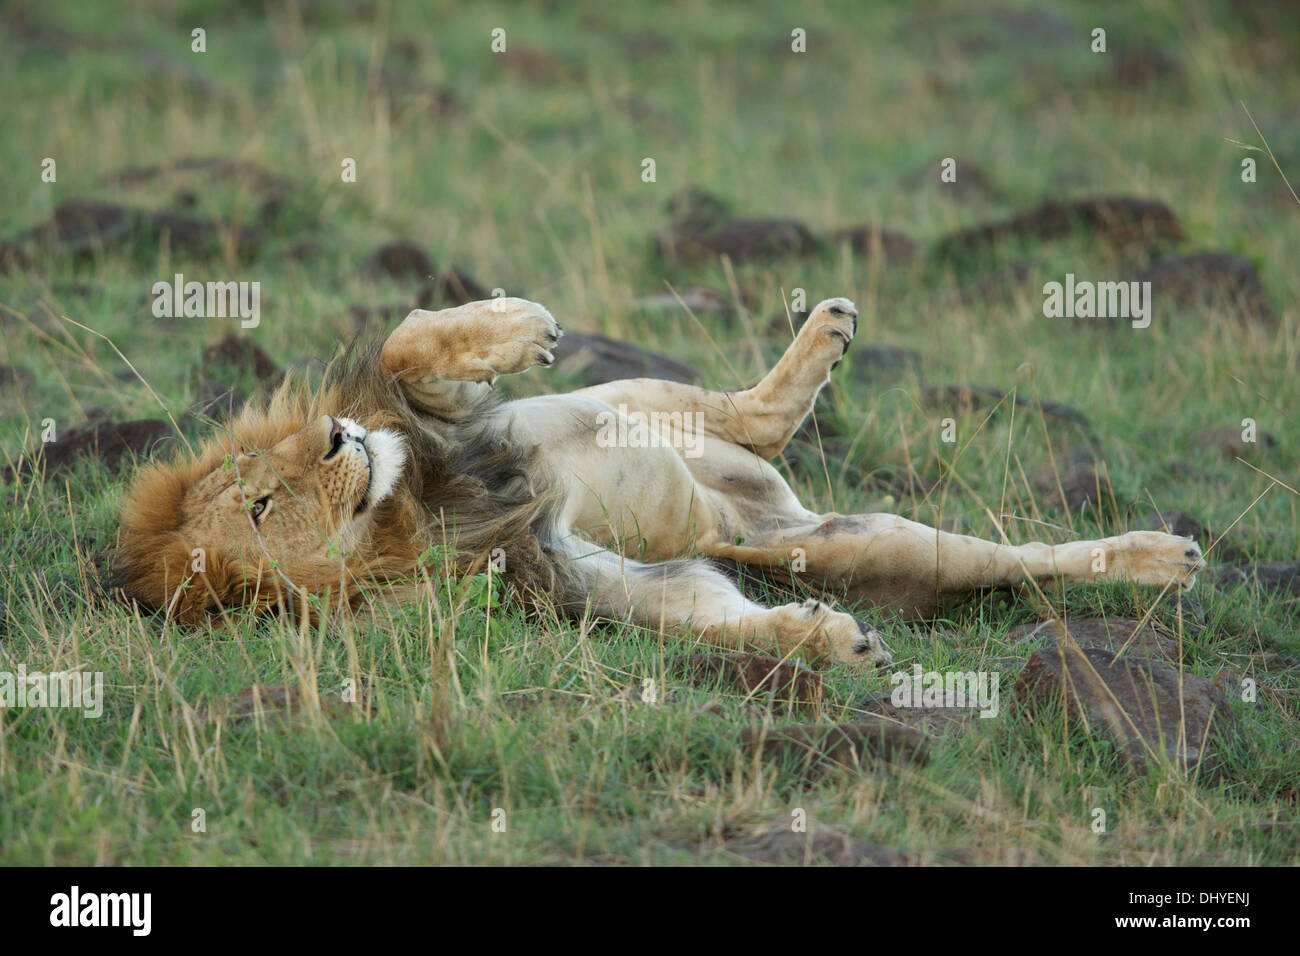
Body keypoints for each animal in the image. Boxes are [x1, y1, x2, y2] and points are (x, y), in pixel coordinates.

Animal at [114, 297, 1206, 665]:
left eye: (261, 469)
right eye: (262, 505)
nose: (339, 433)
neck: (411, 511)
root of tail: (743, 508)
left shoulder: (454, 421)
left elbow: (409, 342)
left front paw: (520, 323)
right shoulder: (563, 575)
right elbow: (703, 614)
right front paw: (825, 641)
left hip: (627, 401)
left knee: (738, 409)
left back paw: (825, 330)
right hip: (853, 544)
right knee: (1014, 565)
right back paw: (1165, 560)